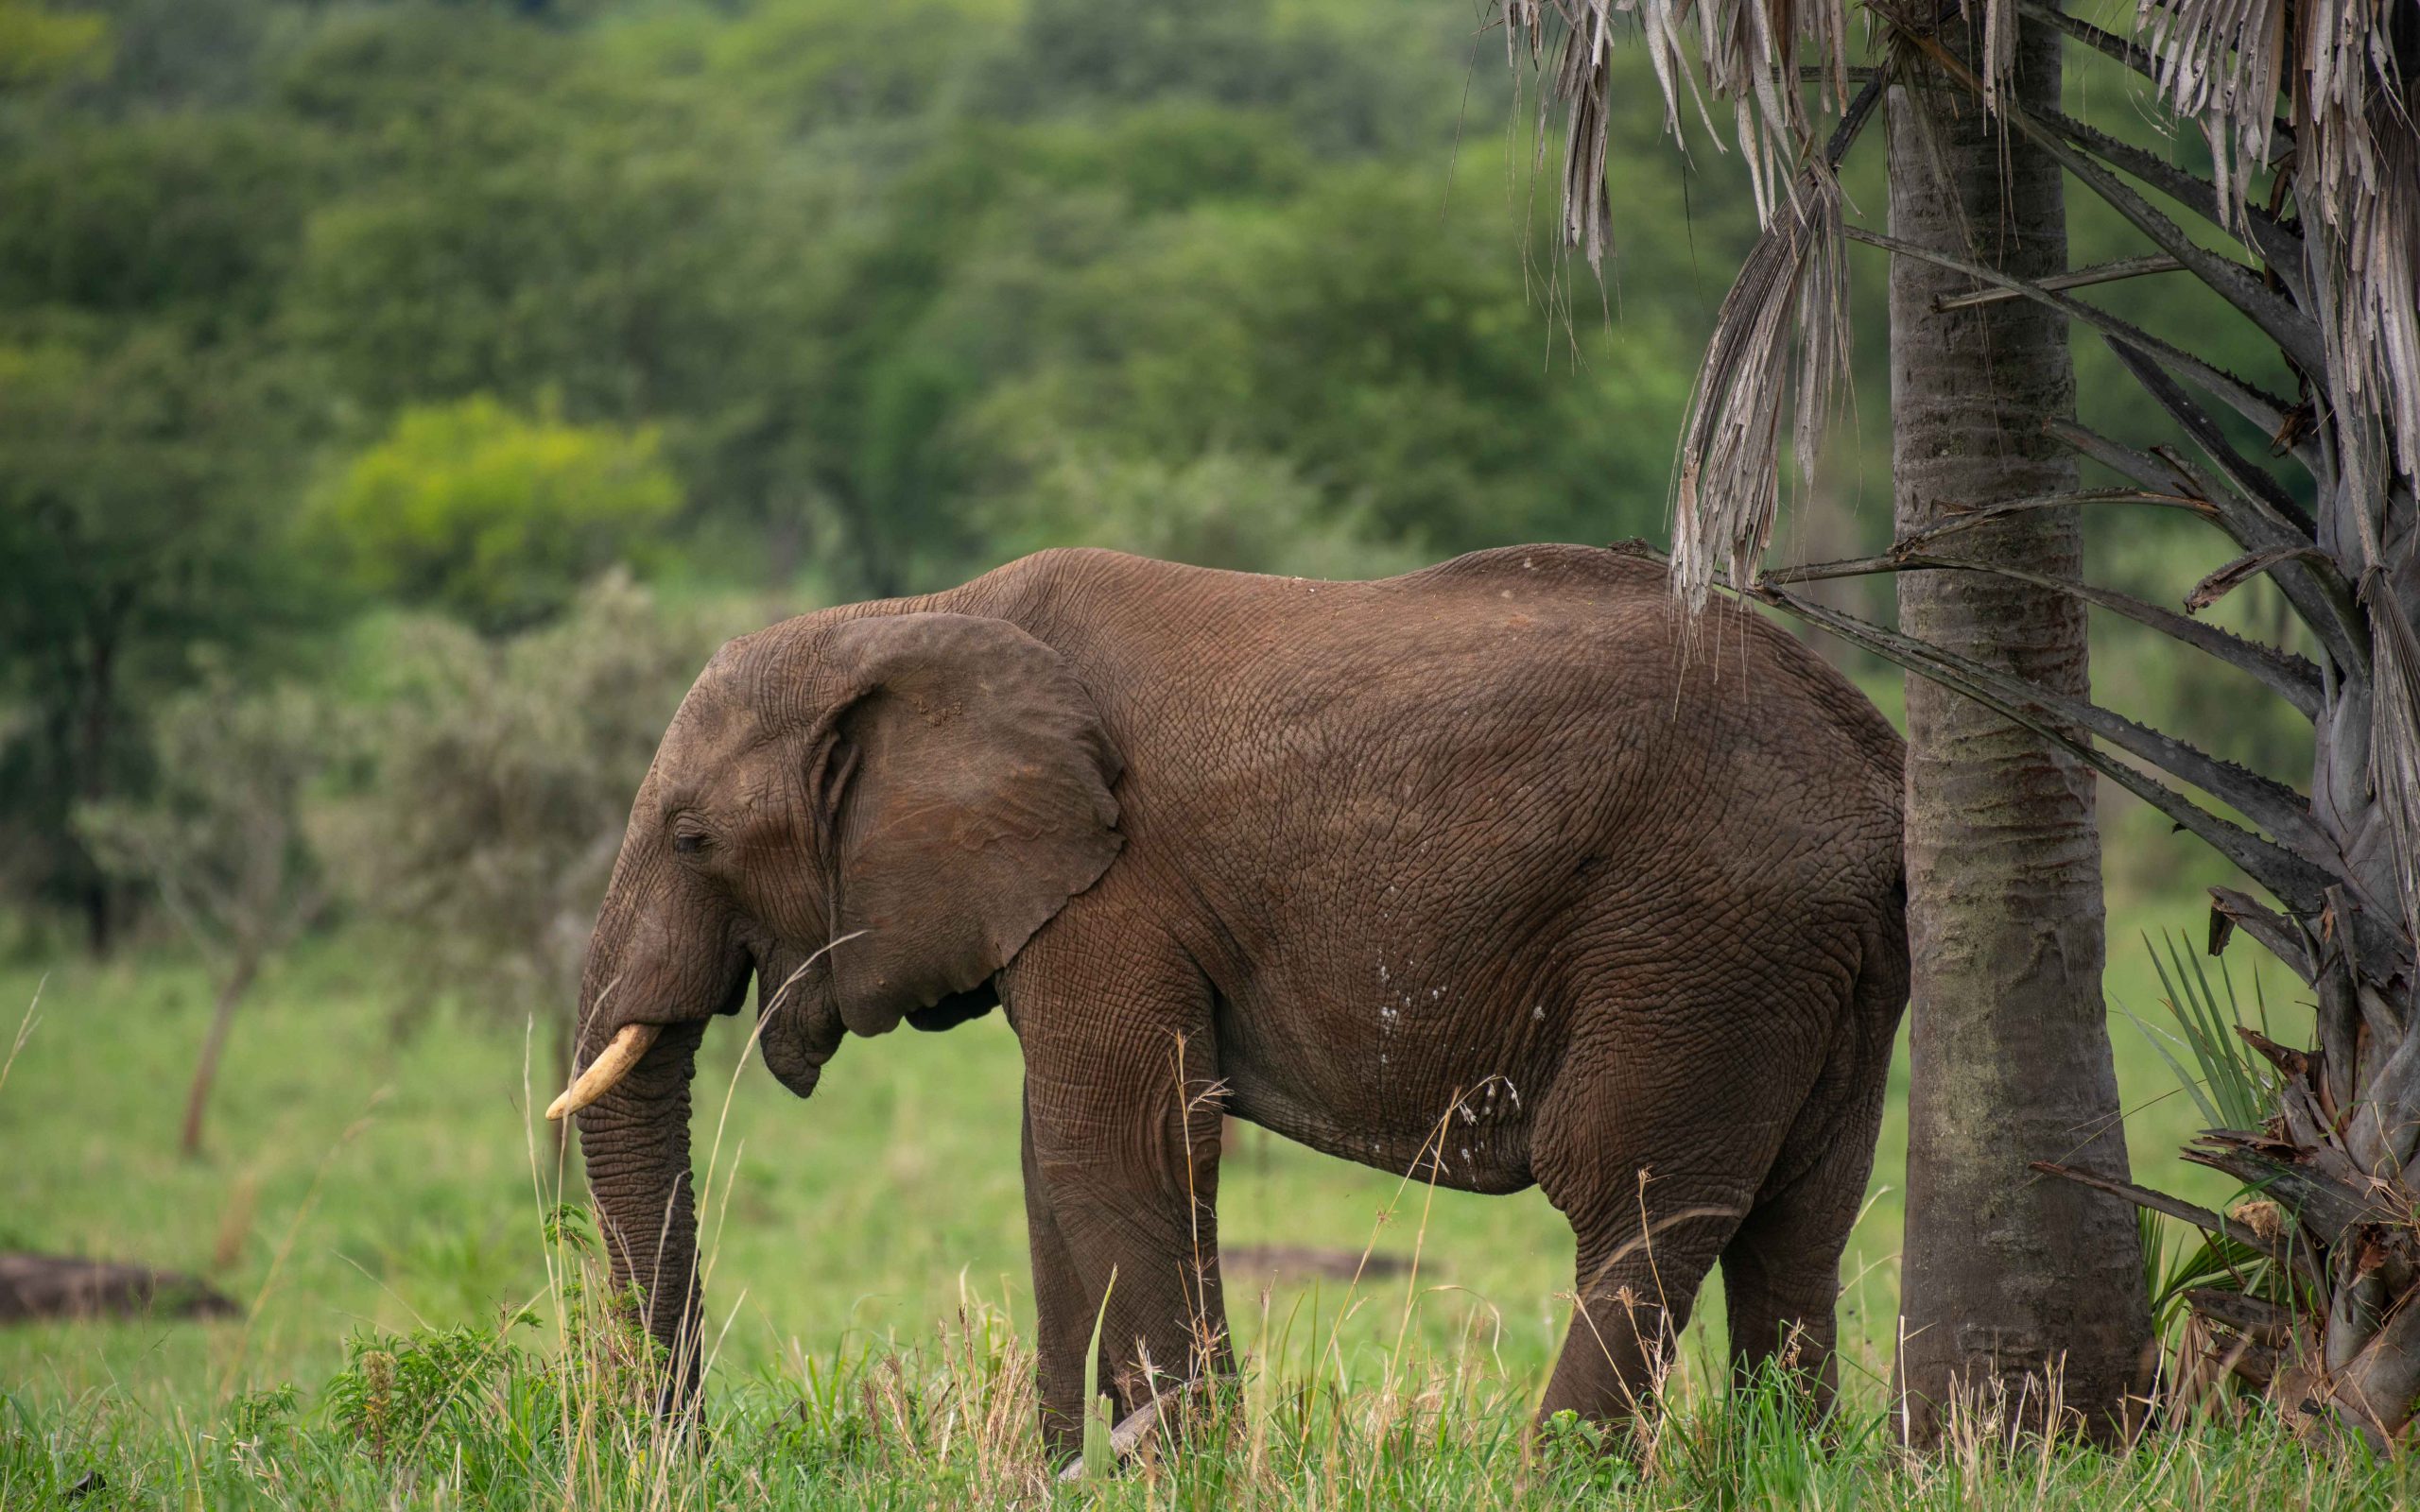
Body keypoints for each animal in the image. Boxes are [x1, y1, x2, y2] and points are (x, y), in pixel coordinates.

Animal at [549, 541, 1907, 1452]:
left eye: (691, 840)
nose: (686, 1448)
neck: (913, 622)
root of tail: (1876, 765)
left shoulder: (1114, 887)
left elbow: (1118, 1145)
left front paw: (1181, 1467)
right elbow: (1056, 1162)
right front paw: (1067, 1472)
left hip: (1696, 930)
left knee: (1635, 1200)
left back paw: (1556, 1476)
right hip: (1820, 964)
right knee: (1798, 1220)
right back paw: (1783, 1464)